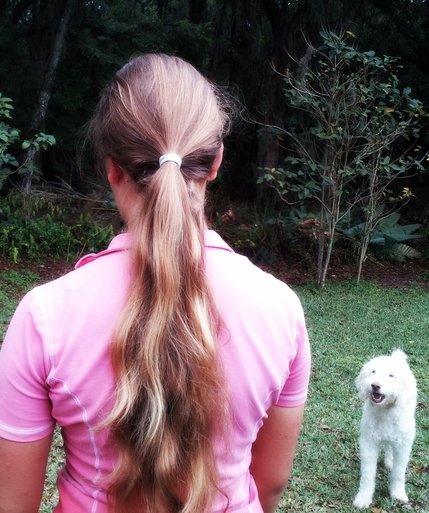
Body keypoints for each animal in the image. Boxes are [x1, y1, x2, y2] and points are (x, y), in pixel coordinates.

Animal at [352, 348, 416, 508]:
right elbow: (367, 474)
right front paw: (363, 498)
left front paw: (398, 494)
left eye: (391, 375)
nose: (375, 385)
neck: (385, 411)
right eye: (373, 372)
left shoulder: (403, 446)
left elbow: (399, 473)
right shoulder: (368, 443)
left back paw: (389, 462)